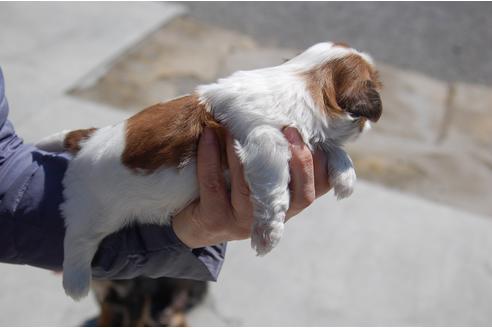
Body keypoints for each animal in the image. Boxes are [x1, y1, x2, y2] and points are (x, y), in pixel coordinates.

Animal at [37, 42, 384, 302]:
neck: (305, 79)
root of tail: (87, 140)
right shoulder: (265, 142)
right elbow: (274, 187)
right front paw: (268, 233)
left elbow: (330, 148)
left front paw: (345, 175)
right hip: (91, 211)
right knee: (78, 239)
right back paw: (76, 282)